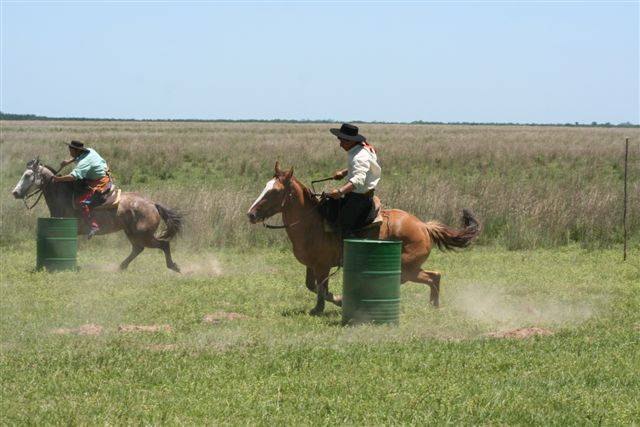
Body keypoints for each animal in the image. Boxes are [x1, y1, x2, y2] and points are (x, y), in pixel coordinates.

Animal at [11, 159, 184, 272]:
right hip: (132, 233)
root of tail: (153, 204)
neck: (64, 197)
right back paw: (121, 267)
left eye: (28, 175)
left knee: (163, 244)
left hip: (144, 234)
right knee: (138, 248)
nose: (15, 192)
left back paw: (173, 266)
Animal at [249, 162, 480, 316]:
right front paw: (326, 304)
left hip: (406, 267)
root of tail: (424, 226)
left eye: (274, 192)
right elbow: (313, 286)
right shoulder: (312, 265)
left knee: (428, 277)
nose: (250, 214)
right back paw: (433, 304)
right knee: (435, 275)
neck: (312, 222)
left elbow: (322, 289)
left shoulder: (323, 266)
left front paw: (329, 305)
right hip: (411, 267)